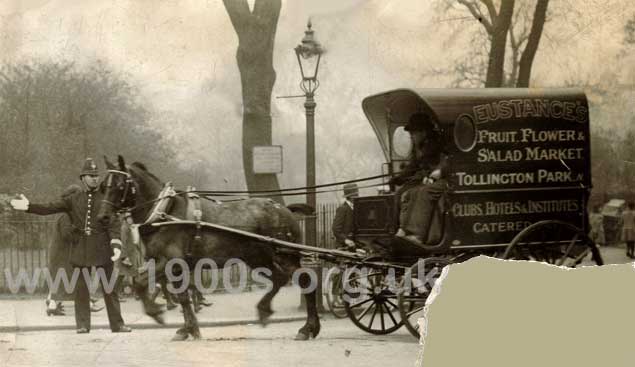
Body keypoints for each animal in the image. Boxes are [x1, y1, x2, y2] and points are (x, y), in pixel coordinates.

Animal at [97, 156, 320, 342]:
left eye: (119, 185)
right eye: (102, 187)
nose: (103, 217)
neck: (164, 211)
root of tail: (284, 210)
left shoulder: (168, 262)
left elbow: (141, 283)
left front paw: (157, 313)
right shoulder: (175, 267)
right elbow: (182, 296)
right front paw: (188, 329)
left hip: (283, 256)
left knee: (304, 279)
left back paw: (307, 327)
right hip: (258, 258)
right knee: (280, 278)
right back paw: (269, 312)